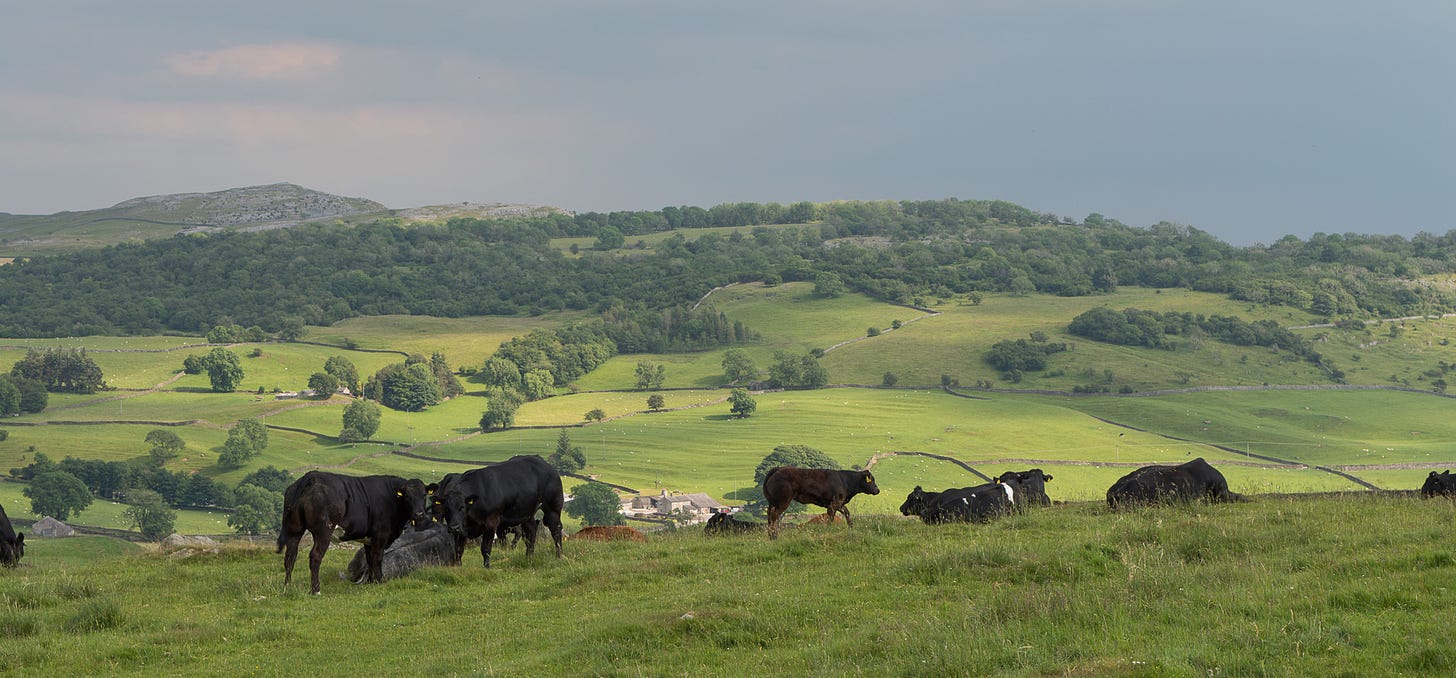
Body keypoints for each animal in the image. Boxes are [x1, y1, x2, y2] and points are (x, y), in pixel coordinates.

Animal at [275, 471, 428, 593]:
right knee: (315, 556)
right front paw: (379, 581)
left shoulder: (369, 539)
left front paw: (370, 582)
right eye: (407, 496)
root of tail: (311, 476)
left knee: (290, 556)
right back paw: (316, 590)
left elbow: (370, 559)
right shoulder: (381, 534)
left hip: (294, 529)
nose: (419, 514)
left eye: (424, 495)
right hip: (323, 531)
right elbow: (378, 558)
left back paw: (287, 586)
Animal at [430, 456, 562, 567]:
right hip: (527, 513)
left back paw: (559, 556)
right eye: (446, 508)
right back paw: (529, 557)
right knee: (531, 532)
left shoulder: (491, 524)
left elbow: (485, 549)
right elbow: (458, 550)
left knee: (556, 530)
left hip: (552, 508)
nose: (453, 527)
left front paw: (487, 567)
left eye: (462, 507)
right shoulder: (461, 531)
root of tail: (545, 464)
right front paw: (458, 567)